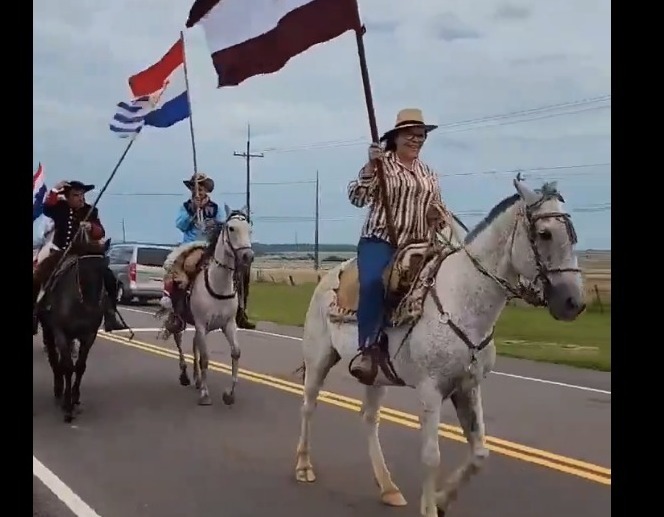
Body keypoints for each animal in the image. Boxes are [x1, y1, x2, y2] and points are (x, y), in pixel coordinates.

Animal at [161, 206, 254, 408]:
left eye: (250, 229)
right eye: (231, 228)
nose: (248, 256)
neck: (219, 284)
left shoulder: (228, 324)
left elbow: (235, 352)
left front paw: (229, 394)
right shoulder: (202, 324)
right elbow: (205, 358)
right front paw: (205, 394)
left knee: (194, 344)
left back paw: (196, 379)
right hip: (179, 320)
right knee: (179, 342)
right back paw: (185, 375)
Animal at [294, 177, 584, 516]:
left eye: (573, 235)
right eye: (544, 233)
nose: (573, 303)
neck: (462, 300)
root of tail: (327, 279)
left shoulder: (467, 387)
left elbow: (479, 453)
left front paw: (442, 500)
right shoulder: (431, 390)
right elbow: (432, 456)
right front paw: (431, 506)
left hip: (375, 376)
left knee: (369, 419)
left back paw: (388, 487)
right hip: (319, 358)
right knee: (309, 405)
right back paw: (304, 467)